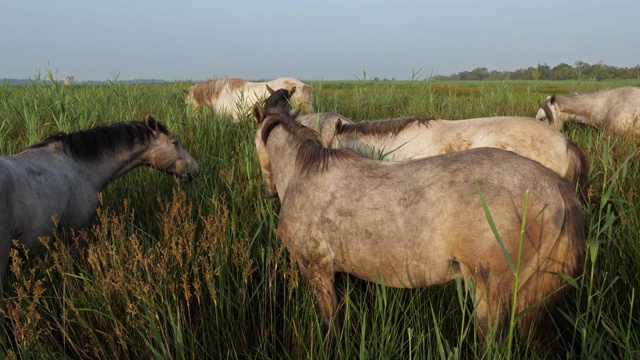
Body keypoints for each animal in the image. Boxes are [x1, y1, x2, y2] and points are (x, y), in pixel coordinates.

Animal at [251, 102, 584, 348]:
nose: (267, 191)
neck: (305, 172)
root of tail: (557, 185)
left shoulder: (315, 268)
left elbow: (330, 323)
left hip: (491, 295)